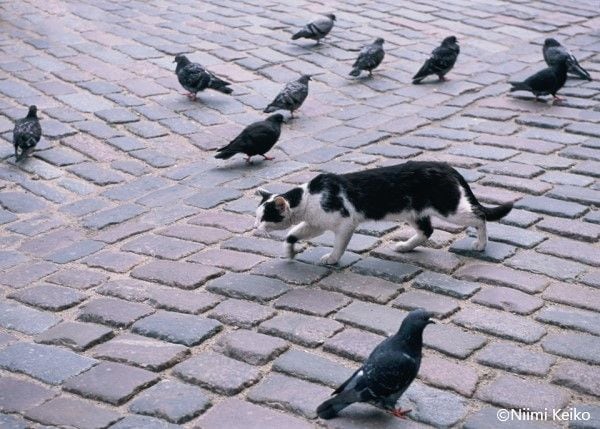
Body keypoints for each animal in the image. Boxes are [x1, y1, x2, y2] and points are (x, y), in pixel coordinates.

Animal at [254, 161, 513, 265]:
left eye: (265, 217)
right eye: (256, 217)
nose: (255, 228)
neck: (308, 197)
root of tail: (446, 166)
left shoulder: (345, 223)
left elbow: (339, 245)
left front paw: (332, 259)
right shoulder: (315, 224)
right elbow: (293, 234)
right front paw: (289, 251)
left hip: (450, 209)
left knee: (479, 215)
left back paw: (481, 244)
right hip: (414, 212)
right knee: (427, 231)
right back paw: (405, 247)